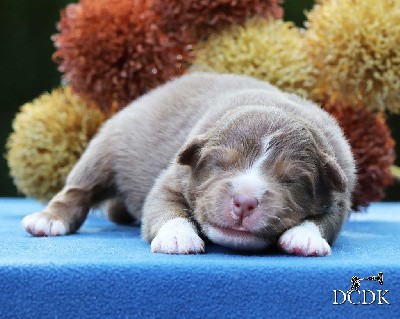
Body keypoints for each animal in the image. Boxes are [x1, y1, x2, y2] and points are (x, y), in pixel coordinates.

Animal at [21, 72, 356, 258]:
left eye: (291, 180)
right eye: (220, 165)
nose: (244, 202)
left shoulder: (340, 196)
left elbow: (326, 220)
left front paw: (305, 237)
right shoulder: (173, 178)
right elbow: (164, 207)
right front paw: (178, 236)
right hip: (107, 145)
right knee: (79, 188)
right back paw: (48, 220)